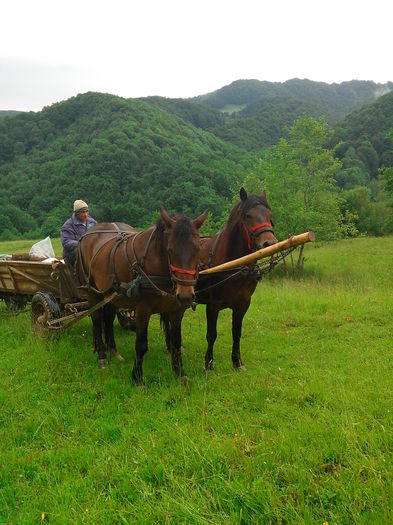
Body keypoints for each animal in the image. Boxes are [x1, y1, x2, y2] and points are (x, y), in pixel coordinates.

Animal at [74, 207, 207, 382]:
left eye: (198, 249)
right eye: (170, 250)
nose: (185, 296)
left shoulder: (177, 310)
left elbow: (177, 342)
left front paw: (180, 373)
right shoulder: (143, 309)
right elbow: (141, 345)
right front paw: (137, 378)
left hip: (111, 294)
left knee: (108, 318)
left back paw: (114, 351)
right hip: (91, 292)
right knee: (97, 320)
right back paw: (102, 356)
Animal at [161, 186, 278, 370]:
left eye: (269, 215)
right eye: (248, 215)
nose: (270, 243)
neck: (235, 264)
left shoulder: (243, 304)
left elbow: (236, 332)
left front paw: (237, 362)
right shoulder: (212, 305)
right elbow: (211, 334)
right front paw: (208, 364)